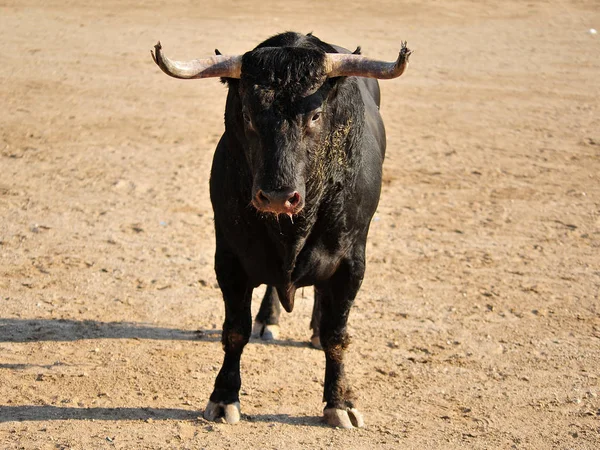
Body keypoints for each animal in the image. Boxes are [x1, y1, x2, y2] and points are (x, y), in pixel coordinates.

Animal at [152, 32, 410, 428]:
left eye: (315, 115)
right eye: (247, 114)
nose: (277, 196)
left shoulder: (351, 263)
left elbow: (338, 334)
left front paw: (340, 402)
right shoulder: (229, 258)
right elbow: (235, 330)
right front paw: (224, 397)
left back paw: (315, 330)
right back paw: (268, 319)